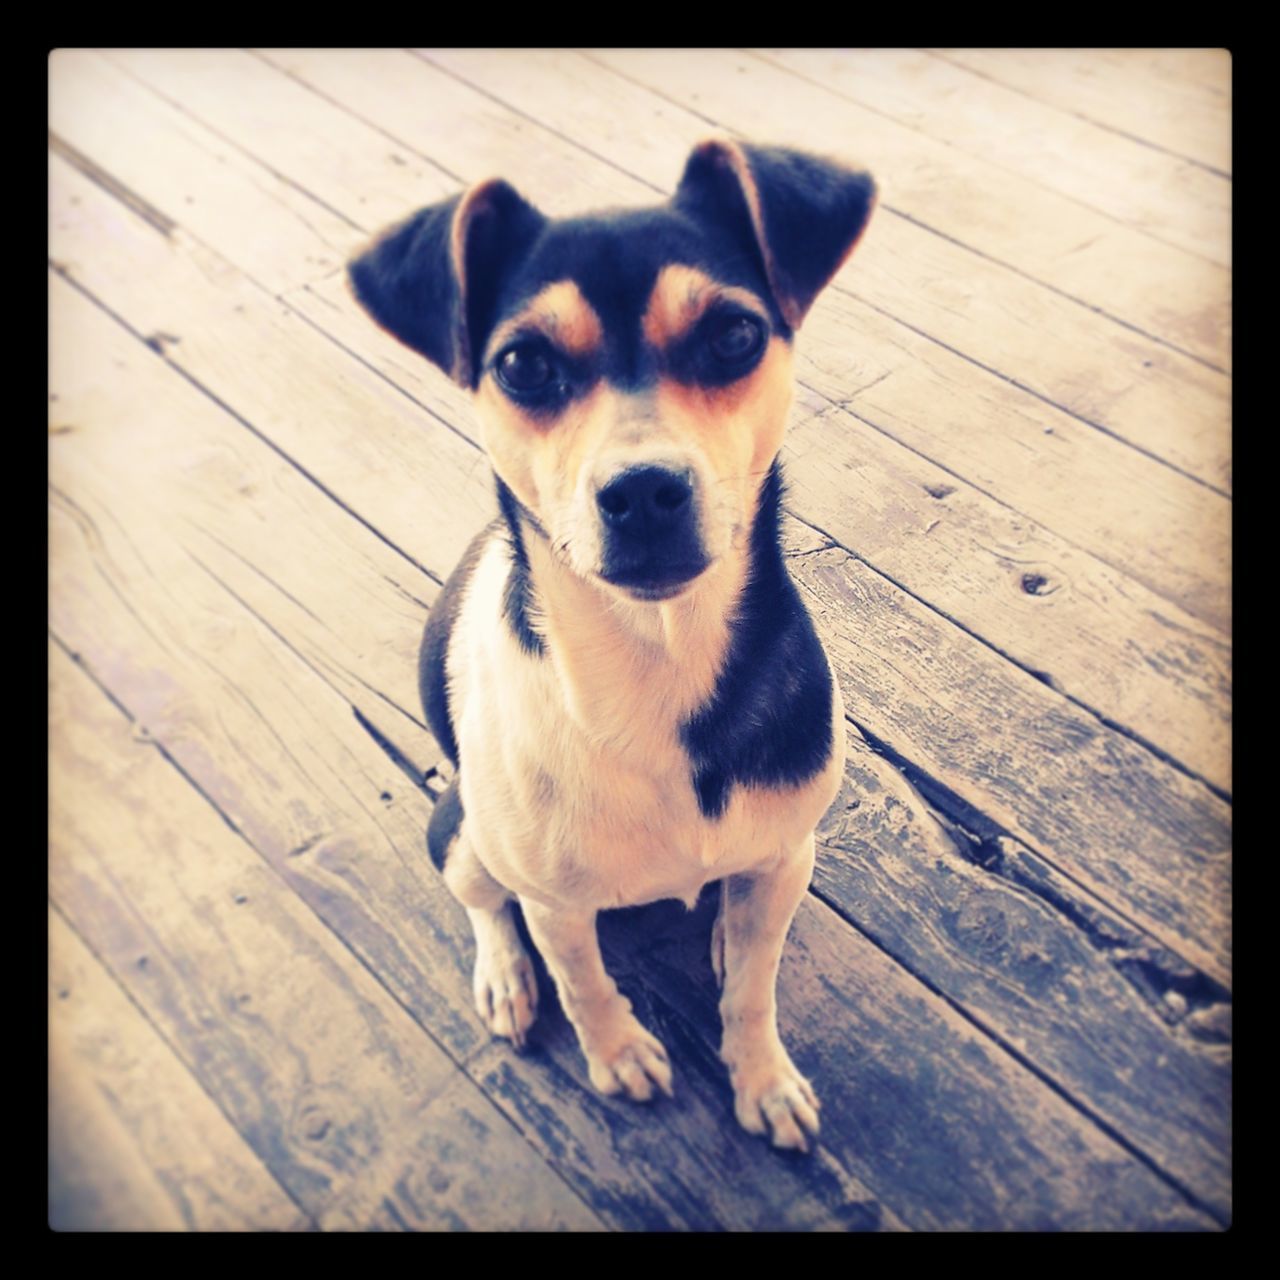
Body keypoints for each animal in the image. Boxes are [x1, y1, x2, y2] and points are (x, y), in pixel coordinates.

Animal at [355, 140, 880, 1152]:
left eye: (733, 335)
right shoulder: (557, 904)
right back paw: (505, 978)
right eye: (523, 363)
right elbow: (584, 980)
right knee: (483, 901)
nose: (641, 492)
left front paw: (760, 1075)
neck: (658, 663)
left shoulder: (784, 856)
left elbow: (753, 988)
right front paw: (618, 1054)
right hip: (462, 831)